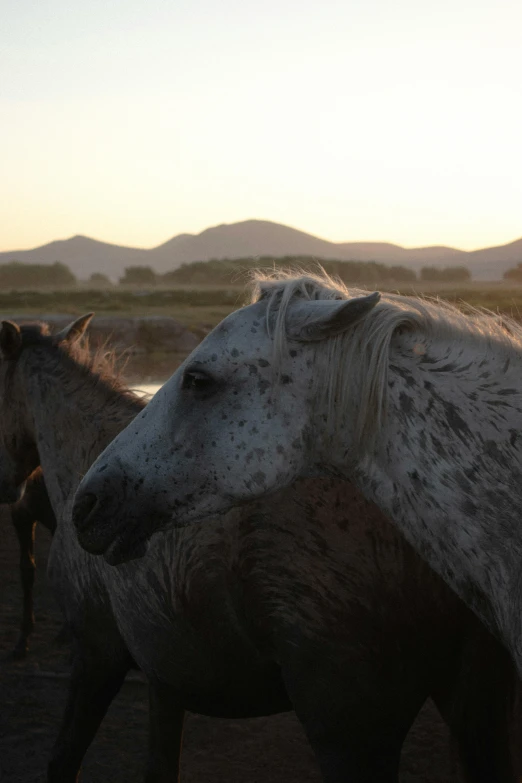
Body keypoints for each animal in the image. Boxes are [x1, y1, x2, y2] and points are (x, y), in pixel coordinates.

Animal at [0, 316, 516, 780]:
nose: (87, 509)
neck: (81, 451)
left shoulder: (96, 656)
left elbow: (63, 760)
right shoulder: (164, 680)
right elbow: (159, 767)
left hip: (350, 733)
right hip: (474, 707)